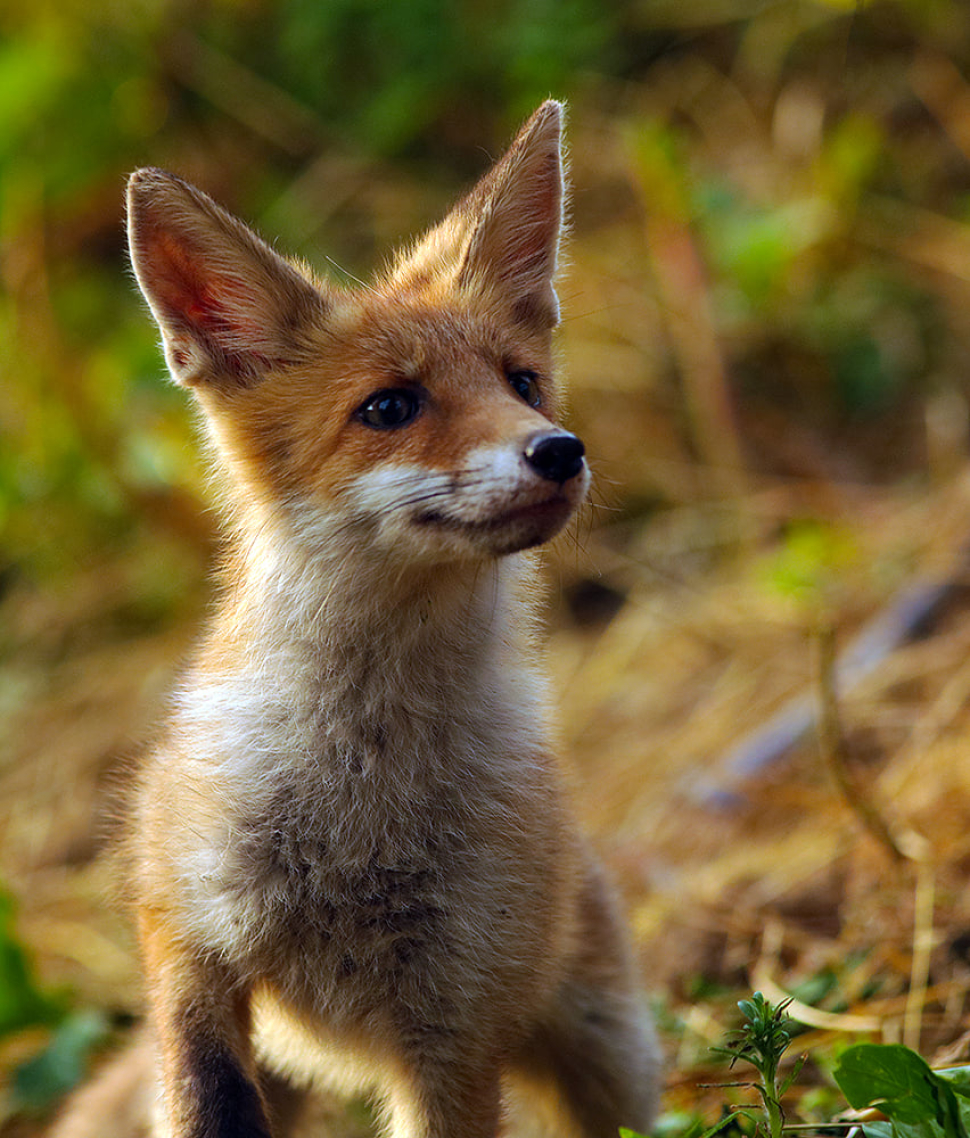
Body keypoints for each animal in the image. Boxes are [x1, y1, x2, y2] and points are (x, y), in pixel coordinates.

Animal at [51, 102, 660, 1133]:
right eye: (390, 407)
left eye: (522, 383)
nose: (559, 451)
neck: (357, 791)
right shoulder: (187, 953)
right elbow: (204, 1097)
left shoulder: (451, 1031)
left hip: (609, 1053)